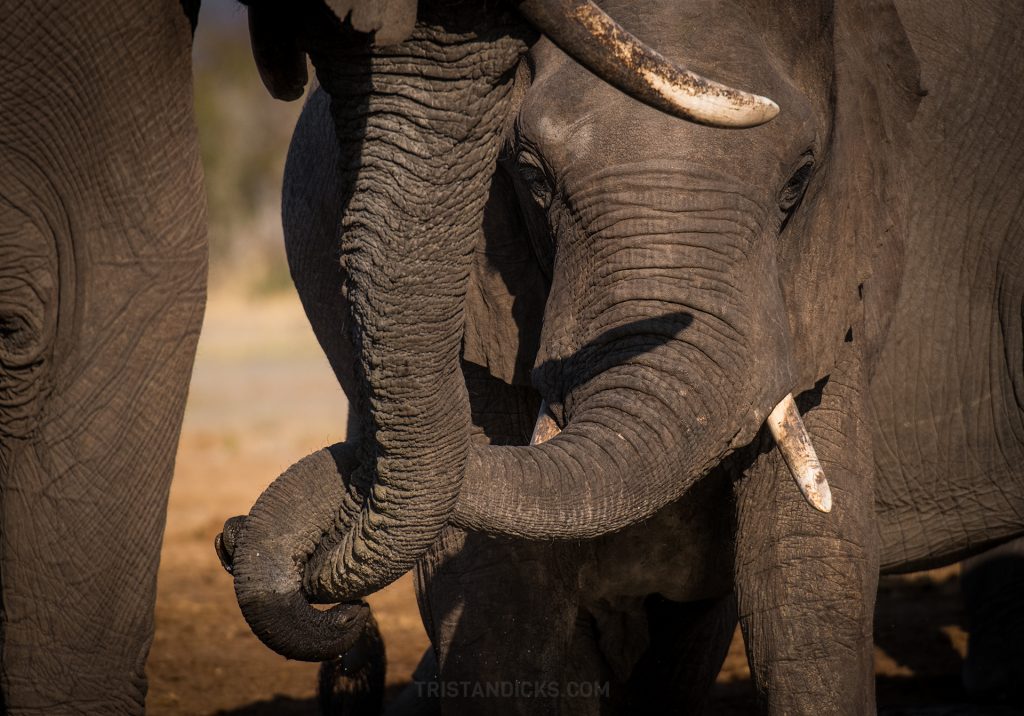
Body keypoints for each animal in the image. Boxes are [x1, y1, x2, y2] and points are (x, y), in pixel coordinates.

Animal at [217, 0, 1024, 713]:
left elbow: (804, 568)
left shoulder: (836, 275)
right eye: (531, 175)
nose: (229, 535)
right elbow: (495, 588)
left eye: (800, 180)